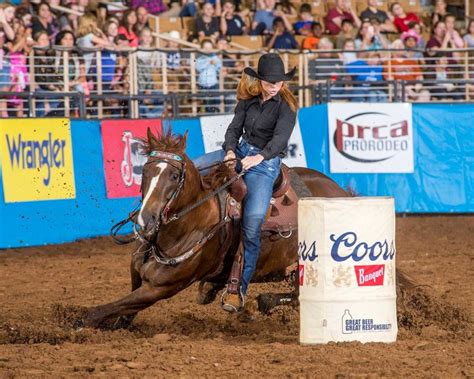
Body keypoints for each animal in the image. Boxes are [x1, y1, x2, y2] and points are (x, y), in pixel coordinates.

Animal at [82, 131, 348, 330]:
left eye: (175, 175)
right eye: (145, 171)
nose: (145, 221)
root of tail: (342, 192)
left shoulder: (160, 288)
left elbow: (101, 311)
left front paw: (77, 323)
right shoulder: (137, 276)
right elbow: (124, 312)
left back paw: (254, 303)